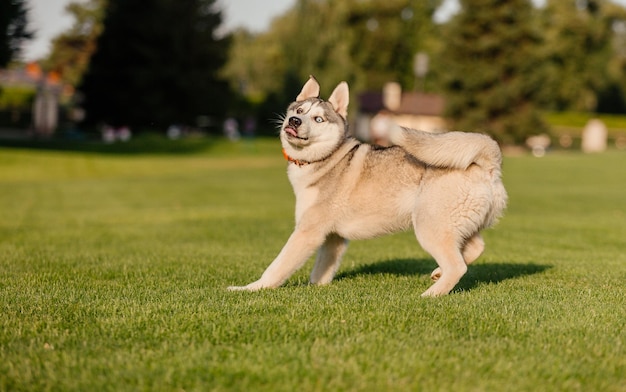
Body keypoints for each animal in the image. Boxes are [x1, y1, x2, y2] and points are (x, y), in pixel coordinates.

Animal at [229, 76, 508, 296]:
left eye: (318, 119)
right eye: (298, 109)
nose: (295, 121)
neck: (324, 160)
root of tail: (487, 163)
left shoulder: (308, 232)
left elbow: (277, 267)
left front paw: (250, 289)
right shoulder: (333, 238)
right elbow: (321, 271)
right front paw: (316, 289)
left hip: (429, 226)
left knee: (458, 265)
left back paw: (431, 294)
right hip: (454, 225)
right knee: (474, 249)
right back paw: (437, 273)